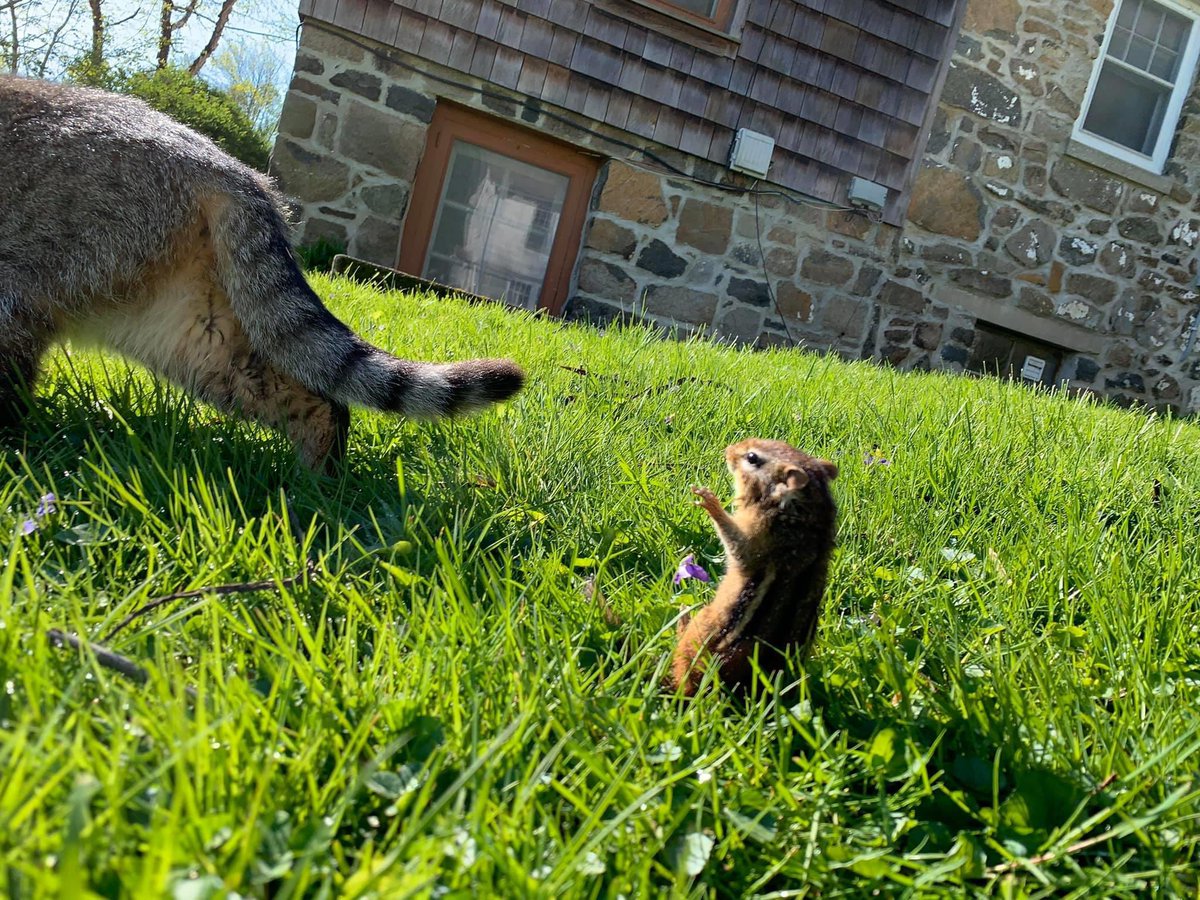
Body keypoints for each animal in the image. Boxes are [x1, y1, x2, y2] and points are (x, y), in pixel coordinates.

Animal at [670, 438, 838, 696]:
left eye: (752, 458)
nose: (728, 451)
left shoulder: (757, 536)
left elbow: (737, 546)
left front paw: (711, 503)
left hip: (701, 628)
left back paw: (682, 617)